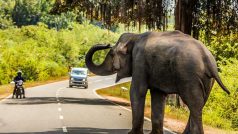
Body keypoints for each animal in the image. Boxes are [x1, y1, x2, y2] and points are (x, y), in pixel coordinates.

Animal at [84, 30, 230, 134]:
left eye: (111, 54)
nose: (107, 44)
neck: (135, 36)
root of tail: (208, 58)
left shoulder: (140, 61)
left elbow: (137, 91)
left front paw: (132, 133)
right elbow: (158, 95)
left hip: (189, 75)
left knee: (193, 103)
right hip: (208, 80)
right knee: (200, 104)